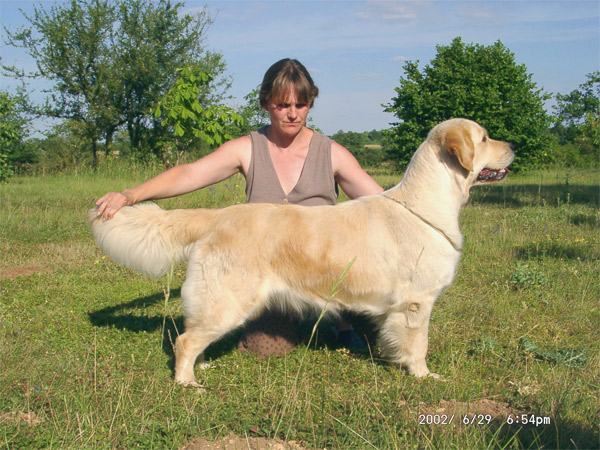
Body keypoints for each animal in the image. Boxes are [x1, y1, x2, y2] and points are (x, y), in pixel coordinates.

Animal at [86, 118, 512, 386]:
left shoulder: (399, 308)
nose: (513, 146)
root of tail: (218, 216)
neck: (425, 206)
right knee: (185, 341)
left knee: (190, 336)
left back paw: (200, 368)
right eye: (485, 137)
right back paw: (186, 384)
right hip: (229, 301)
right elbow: (419, 345)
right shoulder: (416, 303)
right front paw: (424, 377)